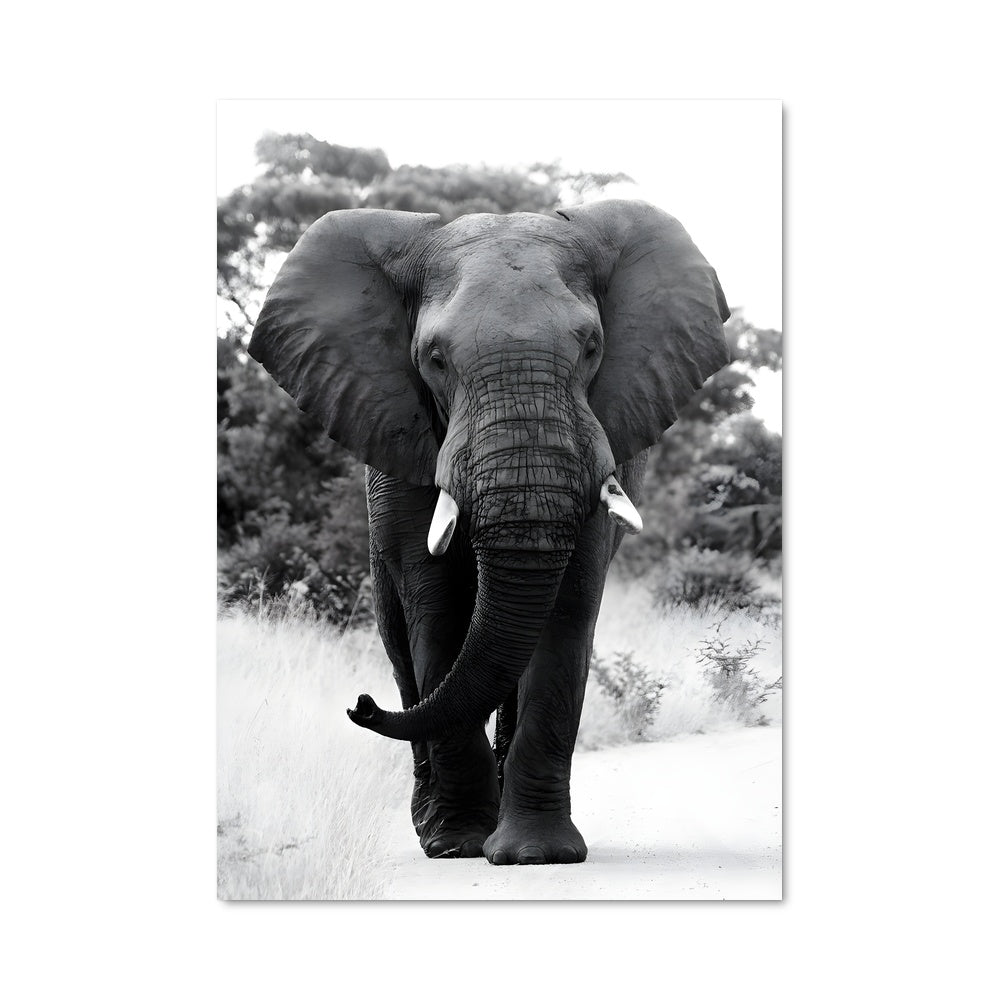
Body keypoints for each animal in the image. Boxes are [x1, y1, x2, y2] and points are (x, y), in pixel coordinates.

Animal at [247, 199, 730, 865]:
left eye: (592, 347)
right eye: (434, 358)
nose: (358, 703)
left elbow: (565, 614)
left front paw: (538, 854)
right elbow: (438, 608)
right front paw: (457, 844)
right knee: (406, 651)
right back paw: (434, 826)